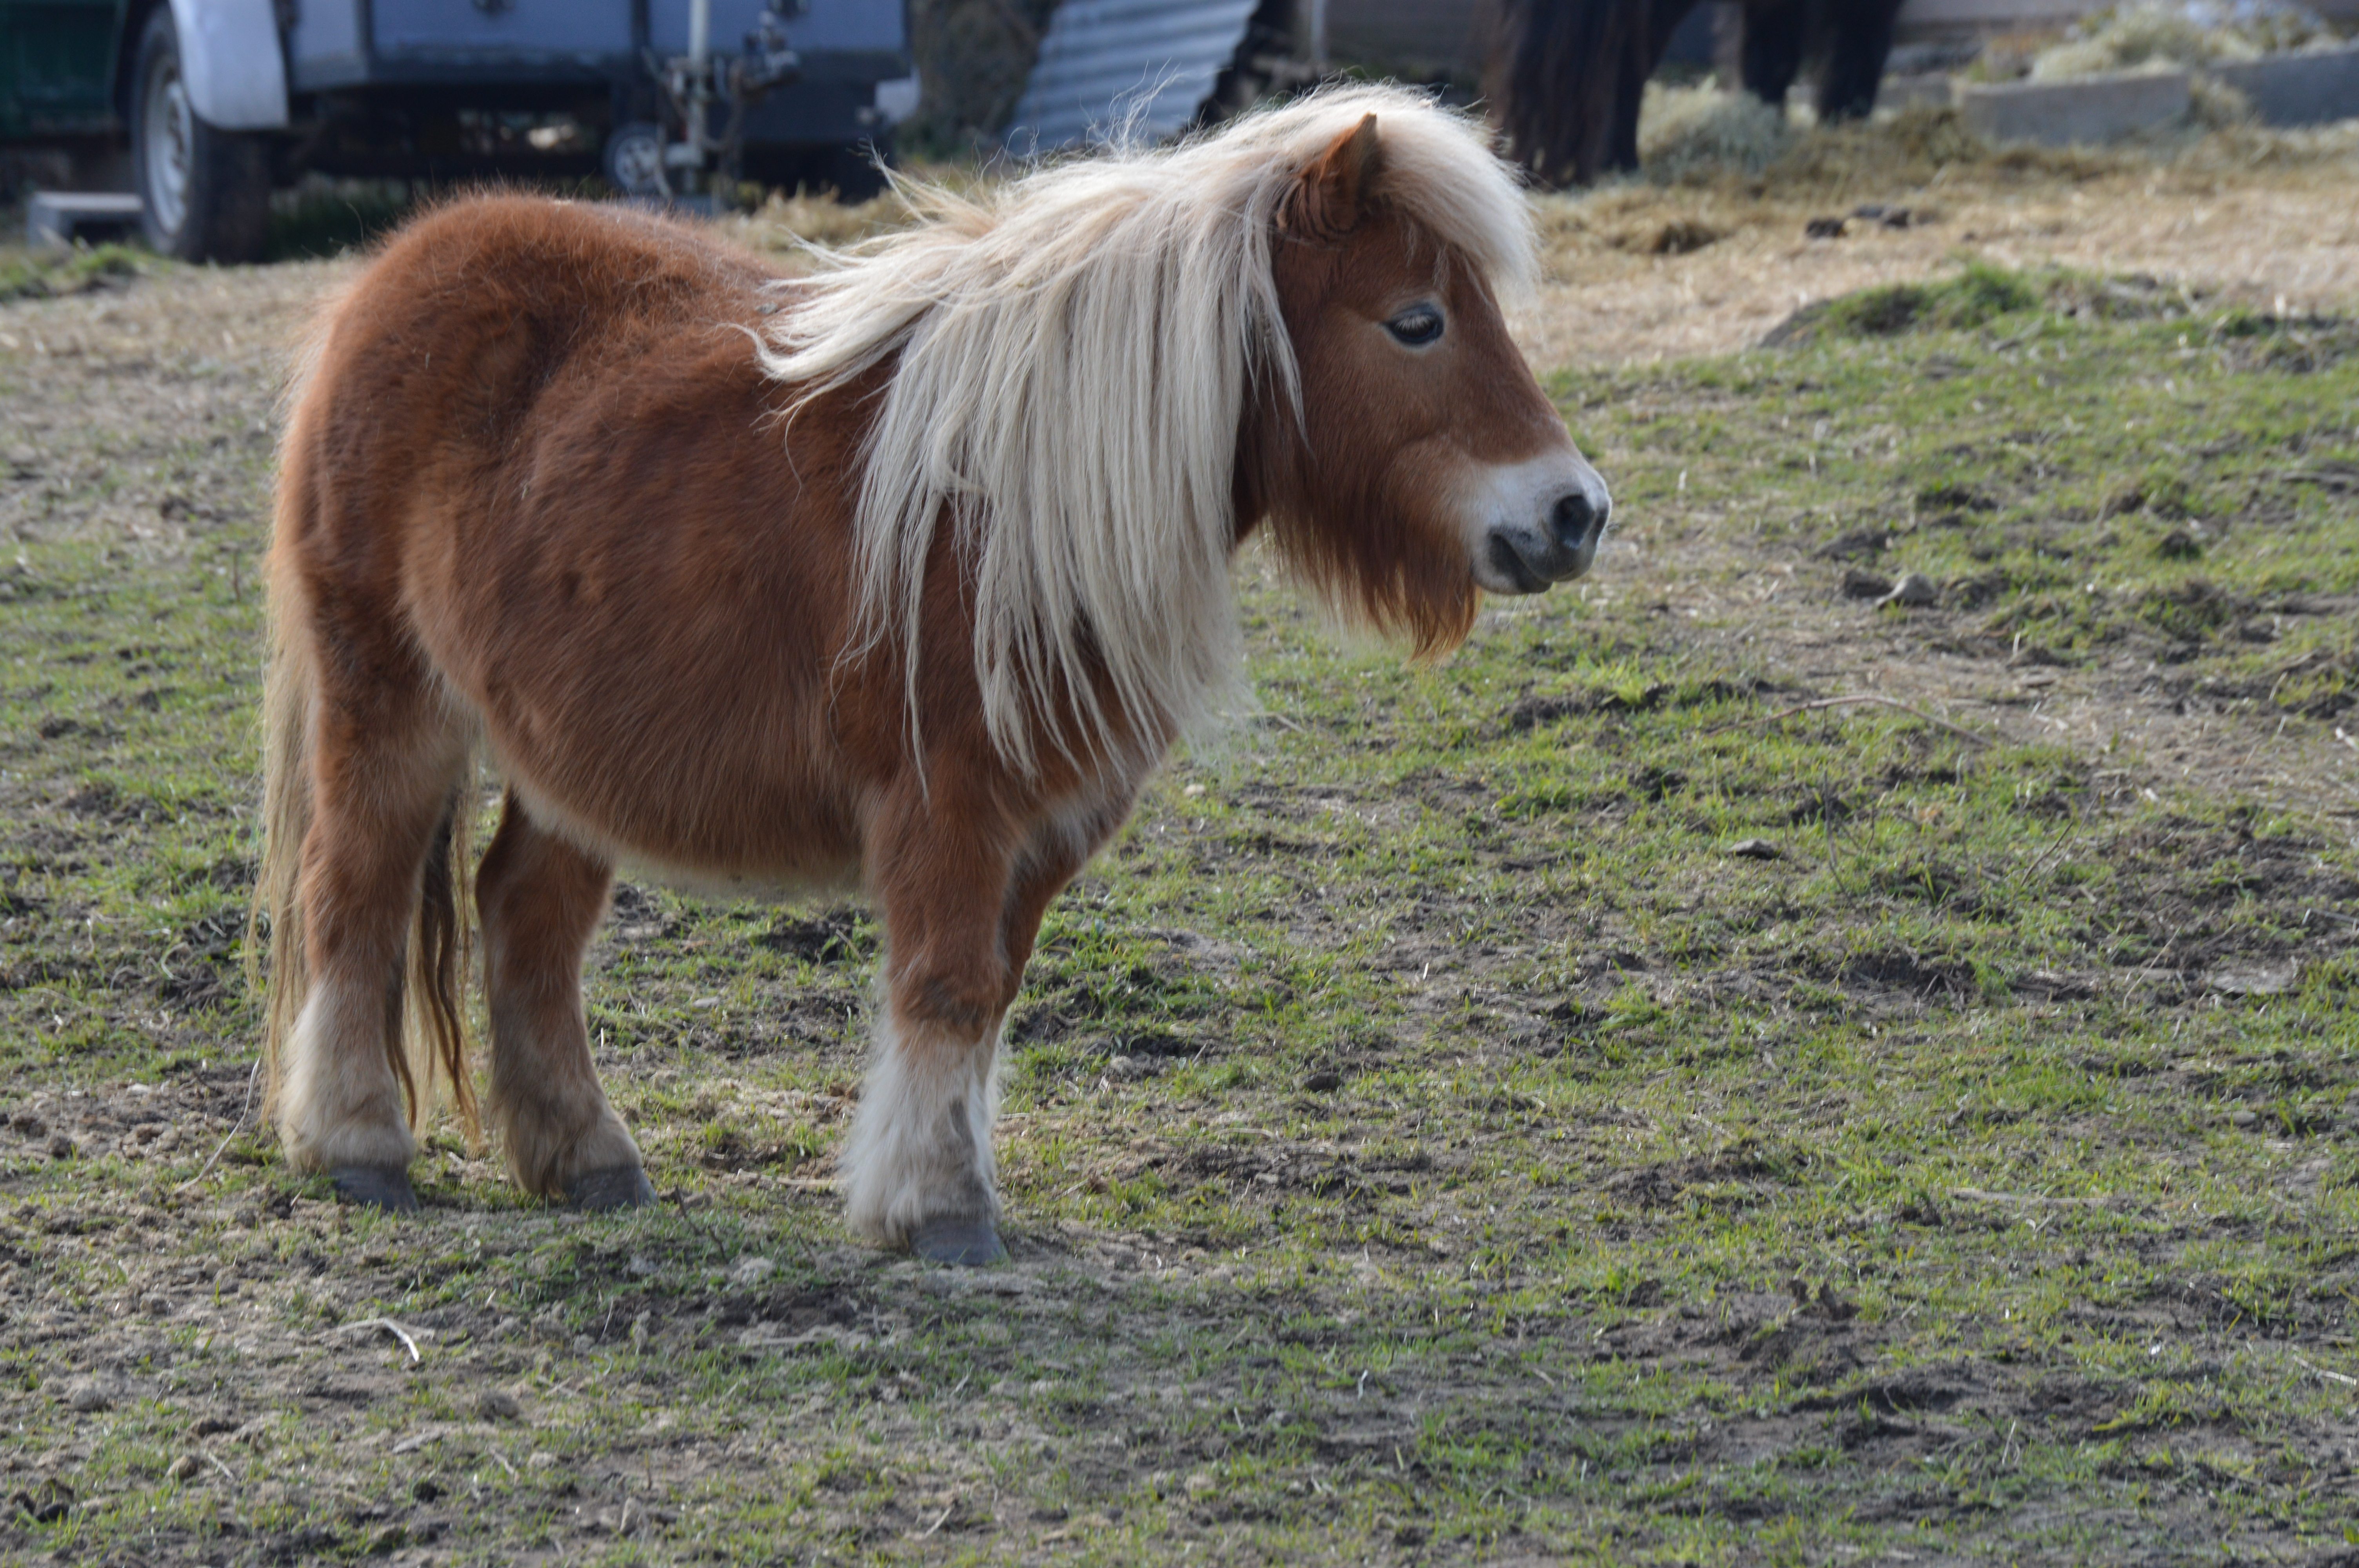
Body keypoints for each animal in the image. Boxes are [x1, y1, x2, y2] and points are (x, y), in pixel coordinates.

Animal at [253, 82, 1612, 1266]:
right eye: (1416, 322)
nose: (1574, 513)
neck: (1020, 500)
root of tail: (391, 273)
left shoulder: (1048, 823)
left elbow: (989, 996)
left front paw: (939, 1190)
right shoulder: (946, 805)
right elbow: (946, 990)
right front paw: (941, 1212)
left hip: (570, 756)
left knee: (525, 918)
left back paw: (586, 1160)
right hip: (389, 701)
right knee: (353, 896)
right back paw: (356, 1144)